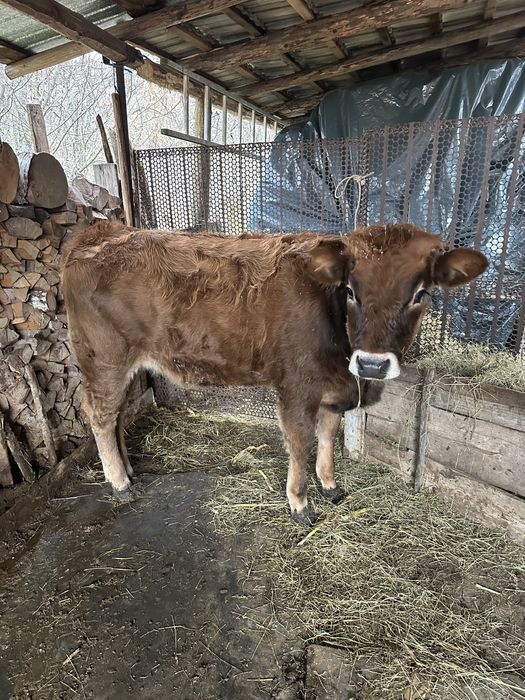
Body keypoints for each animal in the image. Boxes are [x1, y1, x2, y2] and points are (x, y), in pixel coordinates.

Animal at [61, 222, 487, 525]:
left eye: (421, 294)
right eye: (351, 290)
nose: (372, 363)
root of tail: (101, 231)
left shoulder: (332, 391)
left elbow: (327, 437)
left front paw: (330, 485)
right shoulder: (296, 387)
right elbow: (300, 443)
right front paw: (300, 503)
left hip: (124, 368)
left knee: (118, 414)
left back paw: (128, 469)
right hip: (105, 360)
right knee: (100, 414)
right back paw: (119, 483)